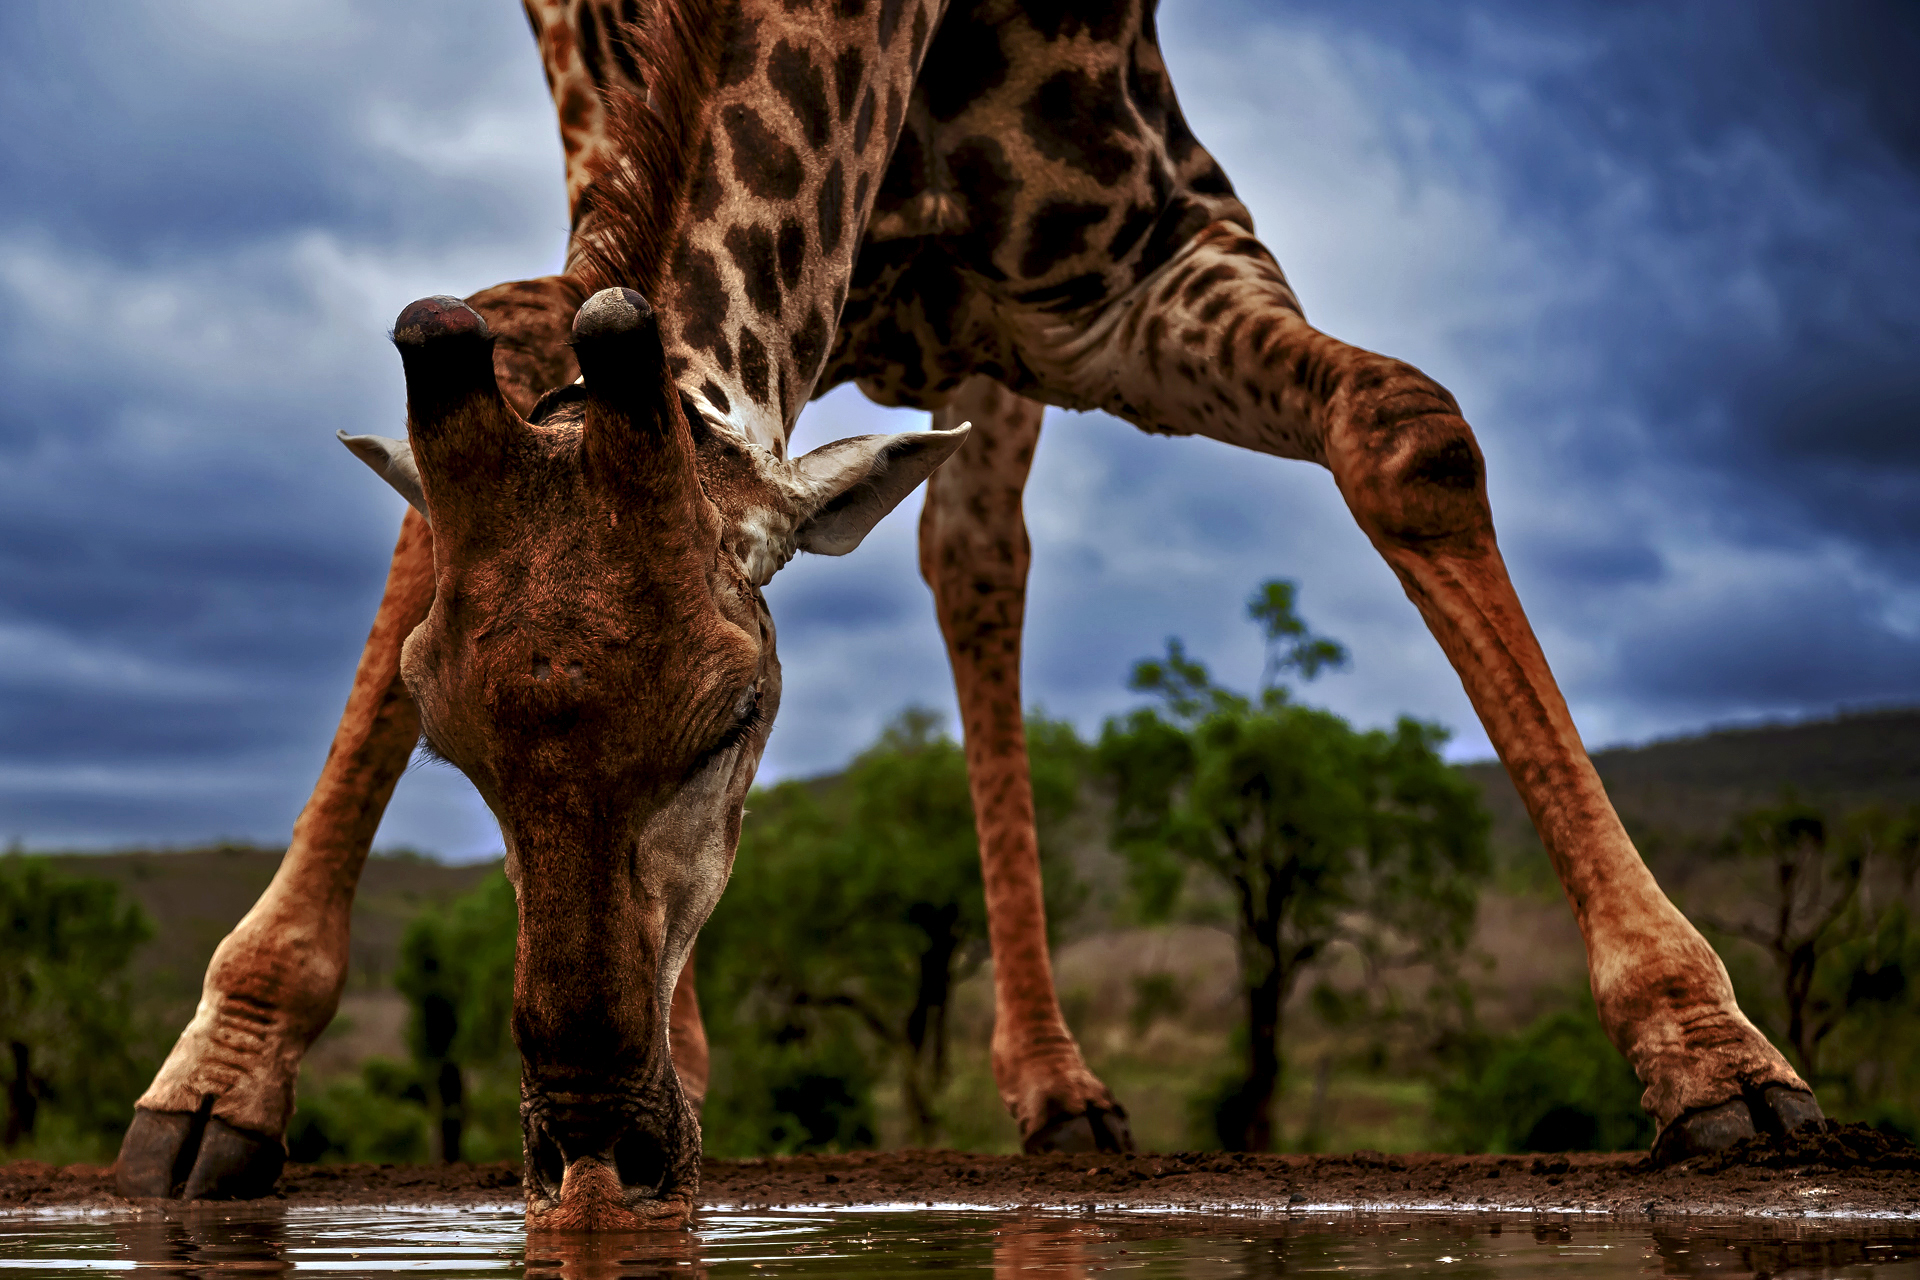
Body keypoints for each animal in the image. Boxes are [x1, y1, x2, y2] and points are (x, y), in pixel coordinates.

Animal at [116, 0, 1821, 1226]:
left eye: (741, 718)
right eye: (452, 739)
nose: (599, 1148)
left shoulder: (1143, 243)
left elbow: (1409, 430)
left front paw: (1713, 1059)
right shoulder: (595, 199)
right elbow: (435, 523)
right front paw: (215, 1084)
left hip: (991, 348)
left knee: (977, 559)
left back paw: (1057, 1088)